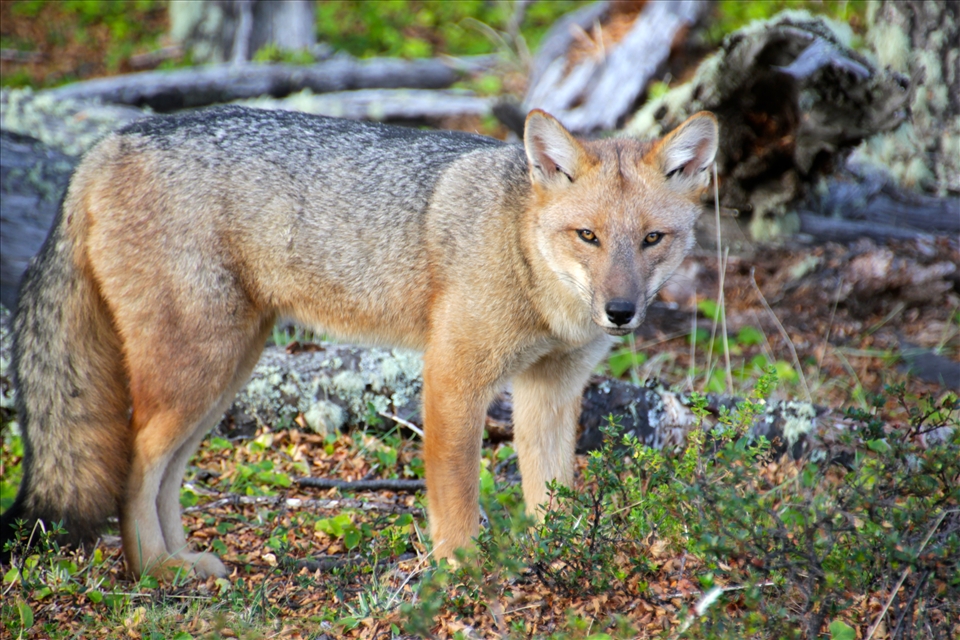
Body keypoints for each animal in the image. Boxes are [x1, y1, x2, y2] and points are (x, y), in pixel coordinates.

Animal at [1, 105, 717, 579]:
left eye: (651, 239)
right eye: (587, 236)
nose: (620, 312)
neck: (525, 259)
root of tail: (106, 143)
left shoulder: (552, 391)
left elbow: (552, 498)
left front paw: (561, 564)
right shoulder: (452, 377)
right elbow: (457, 497)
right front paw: (462, 572)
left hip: (222, 378)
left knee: (166, 475)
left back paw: (181, 560)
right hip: (195, 374)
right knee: (135, 467)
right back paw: (153, 569)